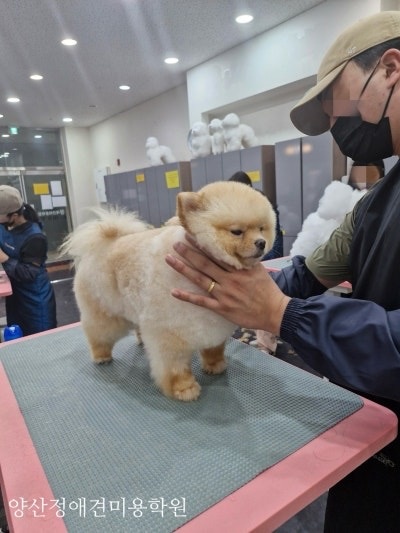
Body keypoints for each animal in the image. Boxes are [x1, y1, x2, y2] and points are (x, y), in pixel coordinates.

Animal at [61, 182, 276, 400]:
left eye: (261, 229)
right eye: (237, 231)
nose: (261, 242)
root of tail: (104, 243)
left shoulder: (212, 325)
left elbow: (214, 349)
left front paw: (215, 365)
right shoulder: (169, 333)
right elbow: (175, 367)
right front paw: (184, 388)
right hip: (104, 313)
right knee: (98, 333)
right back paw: (101, 355)